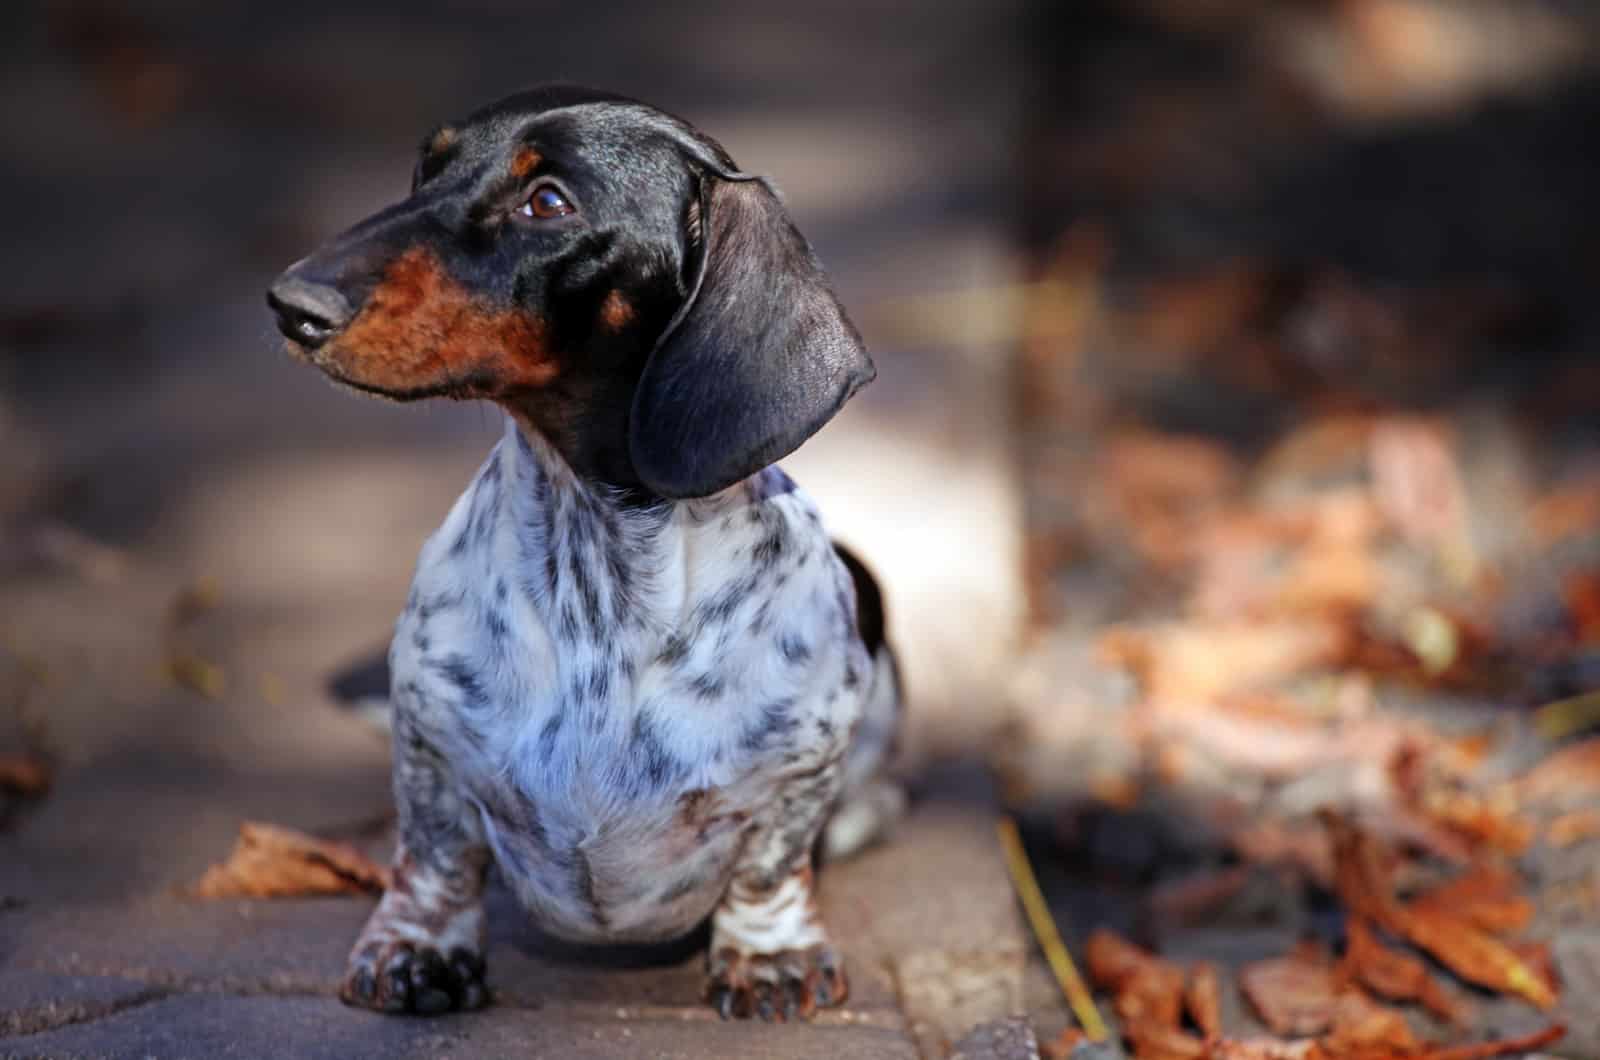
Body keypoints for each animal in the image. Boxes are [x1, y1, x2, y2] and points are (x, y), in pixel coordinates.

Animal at [268, 87, 908, 1024]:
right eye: (428, 166)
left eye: (548, 202)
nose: (290, 302)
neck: (601, 575)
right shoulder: (427, 736)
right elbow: (435, 853)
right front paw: (418, 948)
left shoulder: (806, 758)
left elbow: (769, 864)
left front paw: (770, 956)